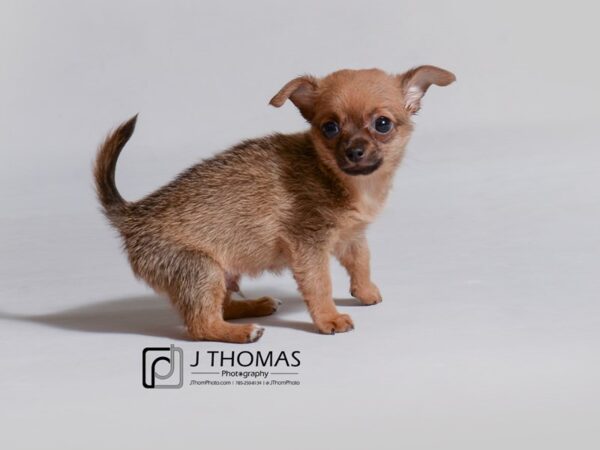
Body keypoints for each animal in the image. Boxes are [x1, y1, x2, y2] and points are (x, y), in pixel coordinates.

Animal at [95, 65, 454, 342]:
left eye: (382, 124)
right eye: (330, 127)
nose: (354, 151)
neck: (345, 181)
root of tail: (134, 214)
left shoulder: (351, 236)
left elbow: (362, 261)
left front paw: (365, 291)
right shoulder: (309, 247)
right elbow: (320, 284)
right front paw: (329, 318)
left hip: (222, 274)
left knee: (221, 307)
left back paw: (255, 306)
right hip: (201, 270)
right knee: (201, 324)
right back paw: (242, 332)